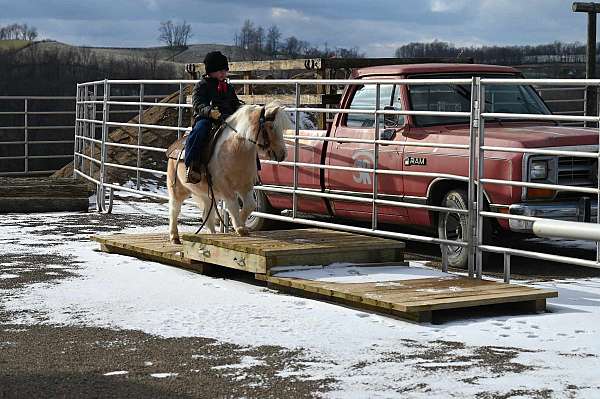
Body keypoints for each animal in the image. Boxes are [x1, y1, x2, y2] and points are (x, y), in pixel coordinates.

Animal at [168, 101, 292, 244]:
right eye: (271, 127)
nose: (283, 154)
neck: (235, 149)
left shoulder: (246, 186)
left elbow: (250, 205)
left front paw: (240, 225)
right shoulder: (224, 185)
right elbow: (233, 204)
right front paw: (239, 228)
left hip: (208, 196)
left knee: (207, 215)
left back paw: (212, 235)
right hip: (177, 188)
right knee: (174, 209)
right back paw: (174, 237)